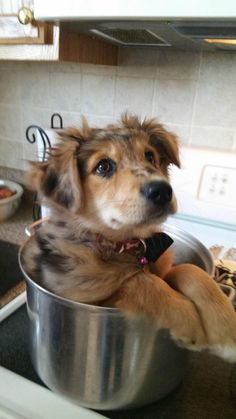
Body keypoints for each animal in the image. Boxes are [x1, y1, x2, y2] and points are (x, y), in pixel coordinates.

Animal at [22, 115, 236, 364]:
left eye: (150, 156)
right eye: (103, 166)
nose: (162, 191)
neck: (126, 245)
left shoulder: (164, 269)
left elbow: (189, 271)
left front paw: (225, 329)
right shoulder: (77, 293)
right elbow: (138, 281)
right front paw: (189, 319)